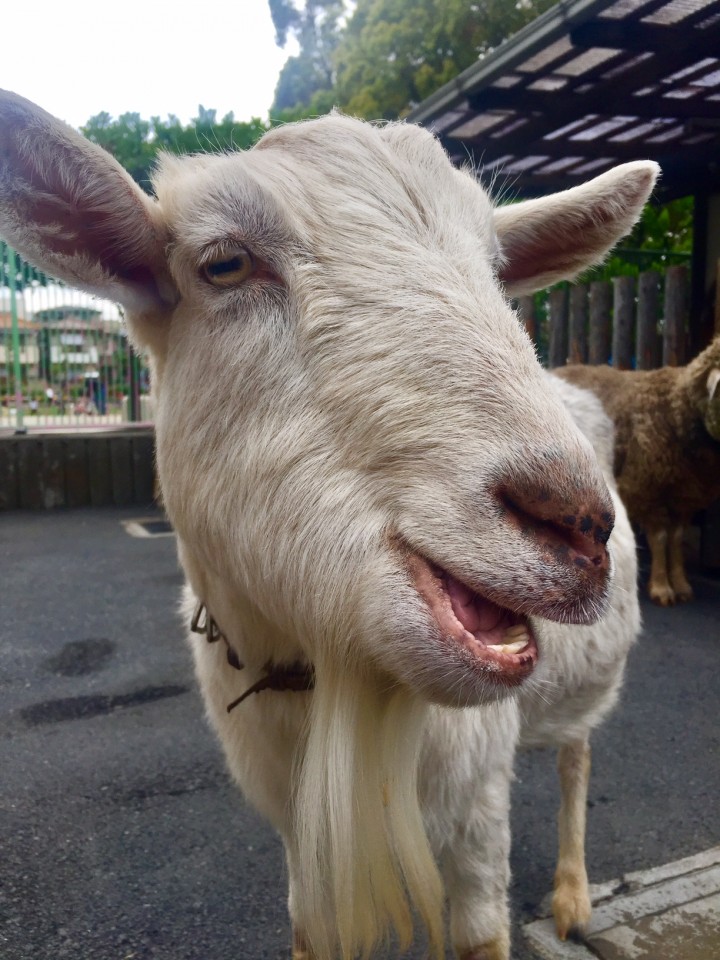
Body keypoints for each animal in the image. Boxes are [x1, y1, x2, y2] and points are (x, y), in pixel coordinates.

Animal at [0, 92, 652, 960]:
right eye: (223, 264)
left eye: (496, 269)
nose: (577, 520)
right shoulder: (296, 833)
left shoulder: (478, 805)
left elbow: (480, 928)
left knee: (576, 755)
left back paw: (573, 895)